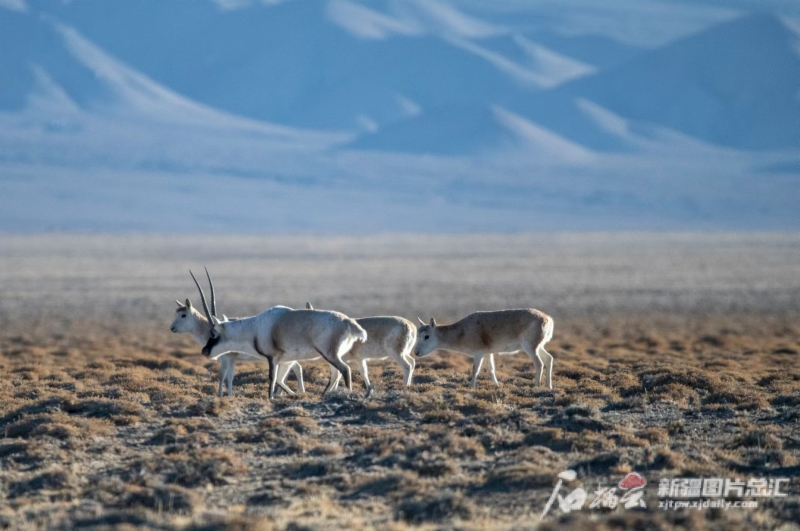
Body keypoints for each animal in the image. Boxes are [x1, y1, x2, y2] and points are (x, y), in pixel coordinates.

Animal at [416, 312, 552, 390]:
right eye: (417, 335)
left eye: (427, 336)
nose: (416, 352)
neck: (462, 331)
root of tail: (548, 319)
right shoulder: (488, 353)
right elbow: (492, 370)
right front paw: (497, 386)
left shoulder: (479, 353)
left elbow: (475, 370)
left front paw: (472, 388)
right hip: (539, 347)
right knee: (549, 359)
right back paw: (549, 386)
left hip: (530, 347)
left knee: (539, 363)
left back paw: (536, 386)